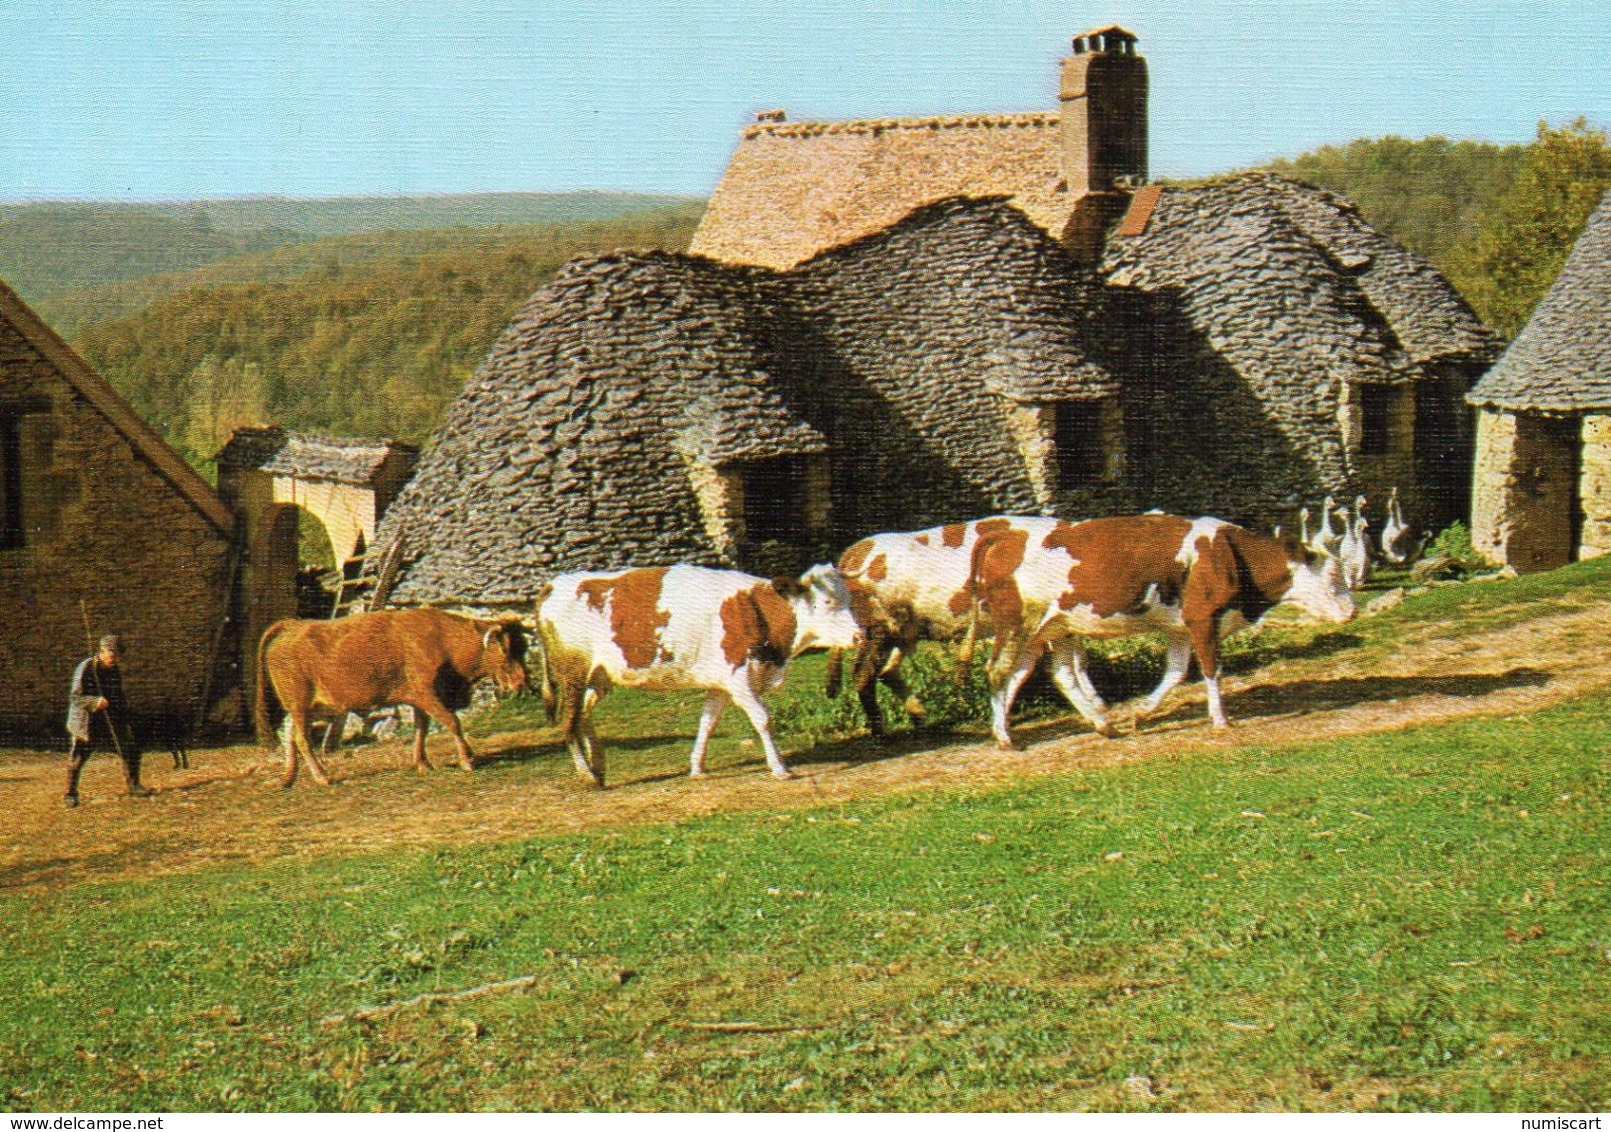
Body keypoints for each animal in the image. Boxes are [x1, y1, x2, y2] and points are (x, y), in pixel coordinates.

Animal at [252, 611, 528, 789]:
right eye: (505, 650)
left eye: (523, 647)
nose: (520, 682)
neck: (444, 641)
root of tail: (290, 626)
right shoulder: (427, 695)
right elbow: (452, 722)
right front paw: (467, 761)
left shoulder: (419, 700)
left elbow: (421, 729)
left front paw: (423, 764)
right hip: (300, 706)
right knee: (301, 738)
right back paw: (323, 777)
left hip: (308, 709)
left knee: (288, 733)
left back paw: (289, 777)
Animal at [538, 560, 869, 789]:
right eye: (828, 602)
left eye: (850, 601)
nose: (860, 636)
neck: (757, 613)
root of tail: (555, 584)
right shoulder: (740, 681)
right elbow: (763, 719)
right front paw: (780, 768)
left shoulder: (721, 683)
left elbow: (707, 723)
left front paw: (697, 768)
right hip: (572, 671)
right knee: (568, 721)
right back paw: (586, 773)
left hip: (598, 676)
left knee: (582, 714)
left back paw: (598, 765)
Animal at [824, 515, 1101, 743]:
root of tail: (854, 552)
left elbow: (1077, 660)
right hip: (877, 627)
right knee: (862, 673)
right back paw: (881, 735)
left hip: (902, 631)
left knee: (886, 671)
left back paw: (920, 717)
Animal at [960, 518, 1353, 747]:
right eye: (1335, 575)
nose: (1352, 611)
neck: (1227, 554)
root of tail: (1006, 534)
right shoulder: (1202, 616)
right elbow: (1211, 670)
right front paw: (1221, 720)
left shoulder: (1181, 626)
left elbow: (1176, 673)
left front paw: (1140, 713)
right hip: (1016, 622)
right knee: (999, 671)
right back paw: (1005, 736)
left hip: (1049, 627)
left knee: (1039, 674)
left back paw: (1097, 723)